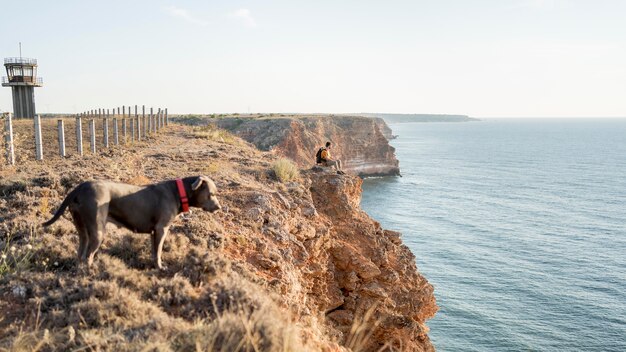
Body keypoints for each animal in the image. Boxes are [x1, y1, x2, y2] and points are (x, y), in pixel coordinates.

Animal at [40, 176, 219, 270]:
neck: (178, 192)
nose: (219, 207)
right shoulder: (162, 229)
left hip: (81, 227)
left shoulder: (154, 232)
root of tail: (79, 188)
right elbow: (159, 251)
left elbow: (154, 251)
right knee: (89, 255)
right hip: (98, 231)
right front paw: (160, 268)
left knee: (80, 252)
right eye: (212, 194)